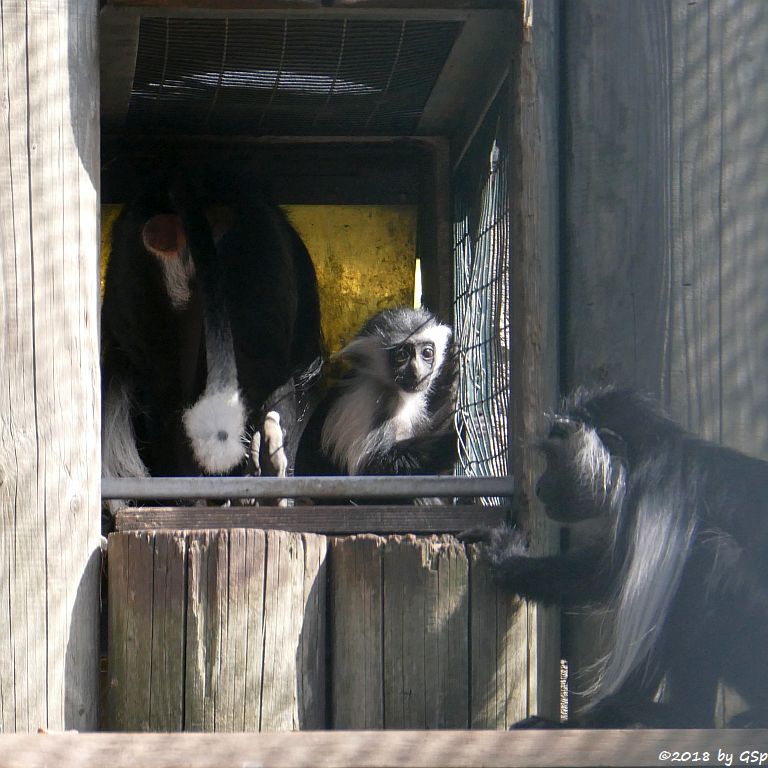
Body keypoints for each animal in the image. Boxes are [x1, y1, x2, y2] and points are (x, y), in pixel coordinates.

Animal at [294, 304, 456, 486]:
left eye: (427, 353)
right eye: (402, 356)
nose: (418, 372)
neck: (394, 391)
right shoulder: (368, 399)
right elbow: (369, 470)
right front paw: (453, 441)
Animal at [472, 388, 768, 728]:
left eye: (556, 460)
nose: (540, 487)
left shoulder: (653, 504)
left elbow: (640, 608)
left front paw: (573, 724)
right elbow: (599, 576)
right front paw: (505, 555)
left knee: (710, 560)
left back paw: (682, 714)